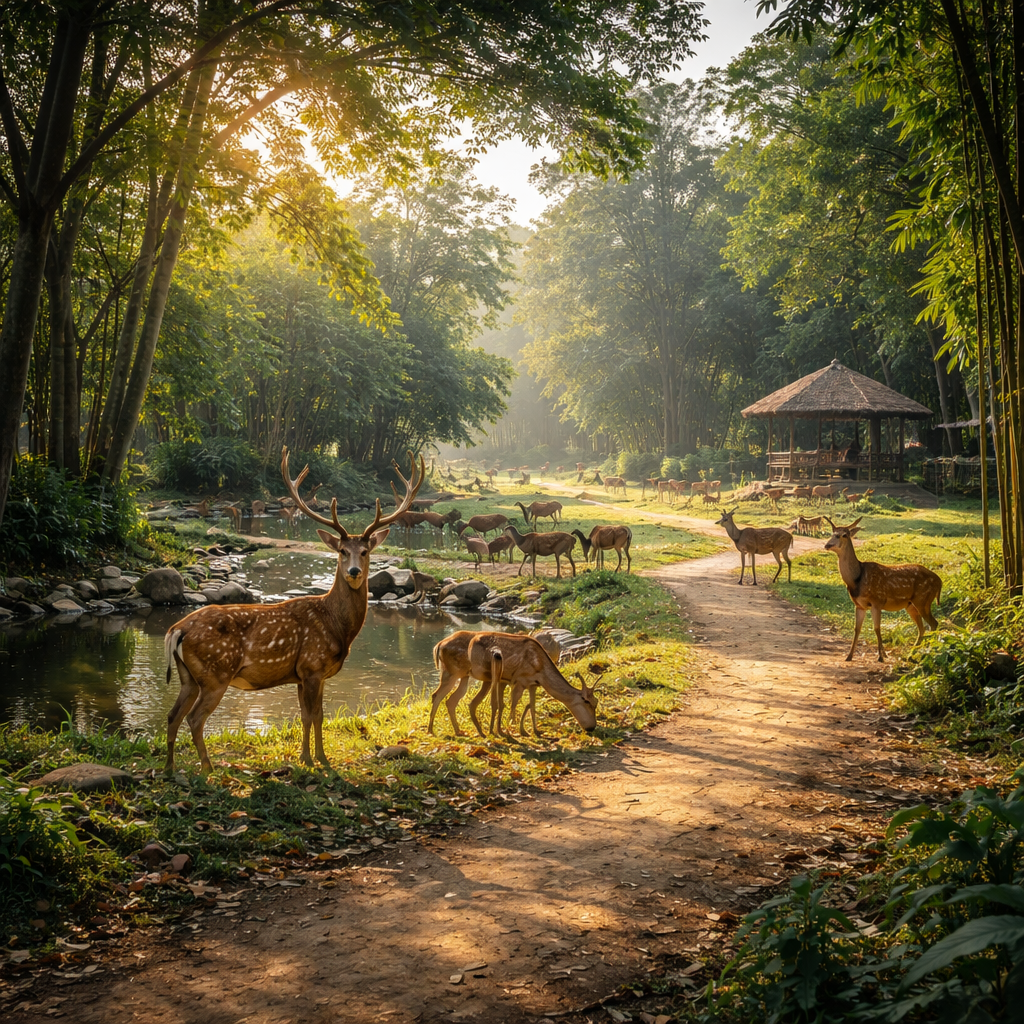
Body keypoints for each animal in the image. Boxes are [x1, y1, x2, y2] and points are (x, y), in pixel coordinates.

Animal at [163, 447, 424, 772]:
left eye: (365, 552)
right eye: (342, 551)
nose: (353, 571)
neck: (336, 626)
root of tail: (175, 630)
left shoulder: (306, 675)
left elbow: (308, 716)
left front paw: (308, 758)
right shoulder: (312, 666)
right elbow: (315, 716)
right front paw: (319, 760)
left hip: (188, 676)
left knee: (172, 715)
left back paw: (171, 769)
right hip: (216, 672)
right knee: (194, 718)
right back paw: (207, 770)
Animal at [428, 630, 561, 736]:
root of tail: (438, 645)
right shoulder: (513, 680)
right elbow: (506, 703)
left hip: (464, 676)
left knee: (451, 700)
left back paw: (460, 731)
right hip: (453, 672)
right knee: (438, 695)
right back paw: (432, 730)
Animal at [824, 516, 942, 662]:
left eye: (844, 535)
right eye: (832, 533)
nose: (827, 545)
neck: (857, 579)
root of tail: (939, 581)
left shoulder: (877, 601)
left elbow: (877, 628)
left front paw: (881, 656)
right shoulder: (859, 605)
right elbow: (857, 629)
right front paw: (849, 656)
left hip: (923, 599)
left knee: (934, 623)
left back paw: (929, 653)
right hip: (911, 605)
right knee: (922, 627)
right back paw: (911, 654)